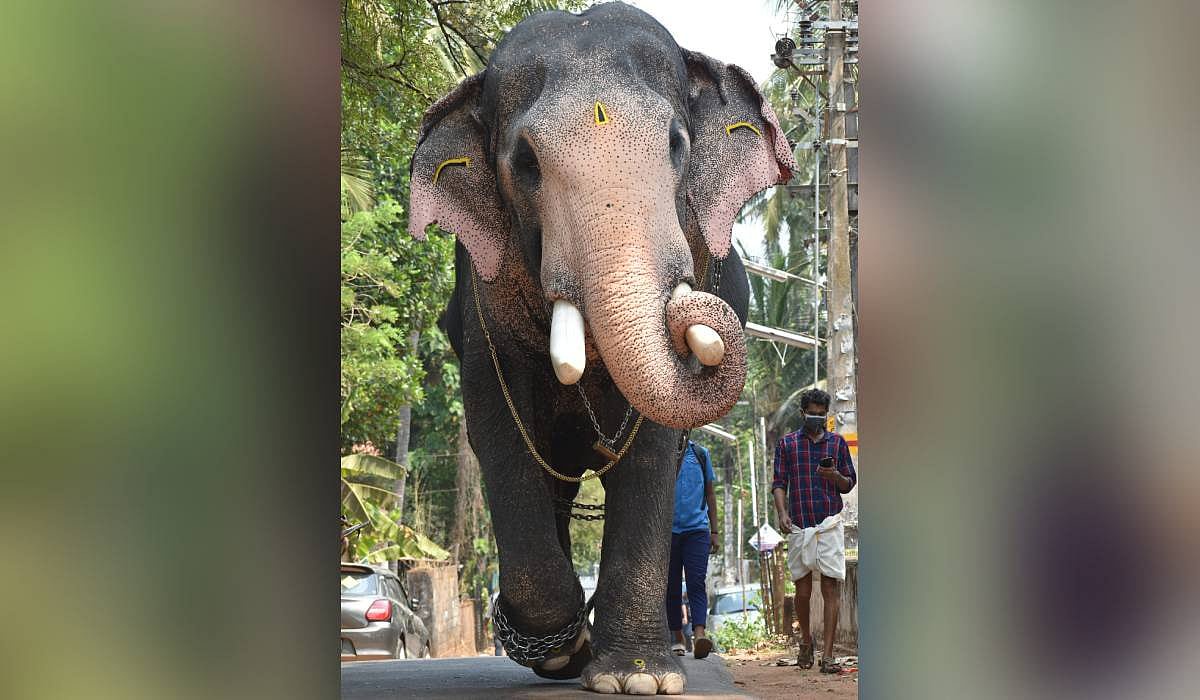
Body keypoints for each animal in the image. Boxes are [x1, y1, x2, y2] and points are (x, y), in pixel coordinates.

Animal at [407, 2, 794, 694]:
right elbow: (495, 422)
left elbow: (655, 446)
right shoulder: (481, 290)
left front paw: (638, 679)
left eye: (676, 144)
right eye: (526, 162)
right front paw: (561, 645)